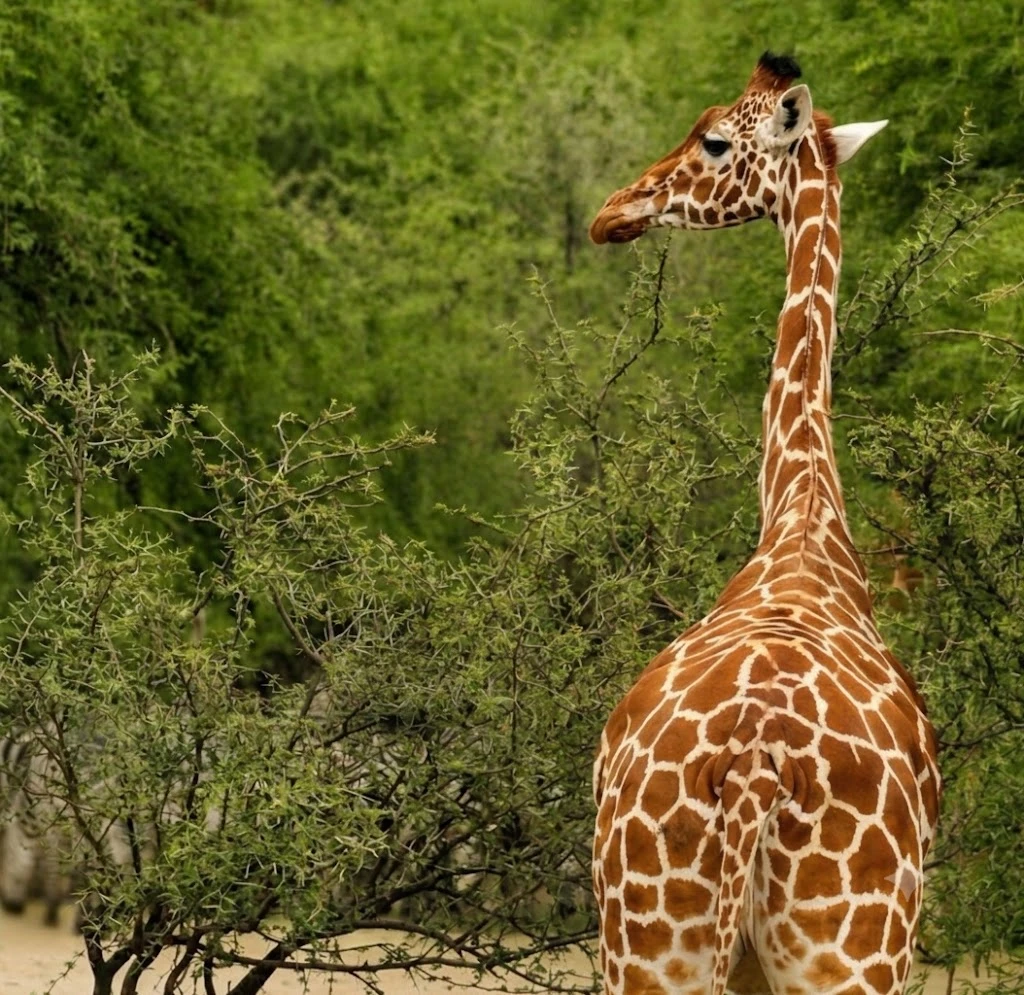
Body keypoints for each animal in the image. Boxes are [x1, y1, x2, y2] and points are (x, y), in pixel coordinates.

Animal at [588, 53, 941, 995]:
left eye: (715, 139)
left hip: (656, 947)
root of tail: (753, 763)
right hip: (837, 958)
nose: (614, 211)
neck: (804, 513)